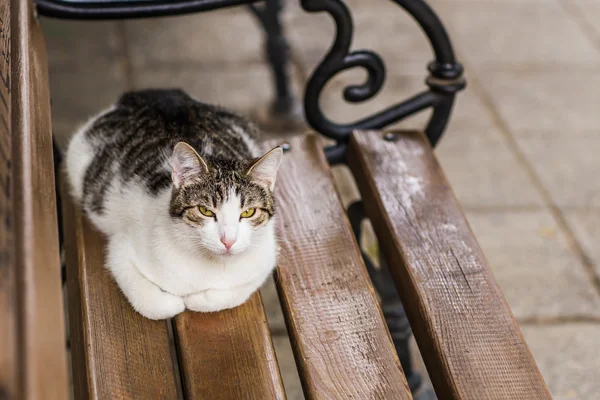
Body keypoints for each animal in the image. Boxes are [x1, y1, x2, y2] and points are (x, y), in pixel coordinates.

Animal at [67, 89, 282, 320]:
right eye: (205, 211)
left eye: (249, 212)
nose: (228, 241)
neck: (212, 265)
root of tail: (155, 93)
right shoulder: (121, 250)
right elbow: (156, 304)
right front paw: (175, 303)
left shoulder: (265, 259)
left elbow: (233, 291)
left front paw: (197, 299)